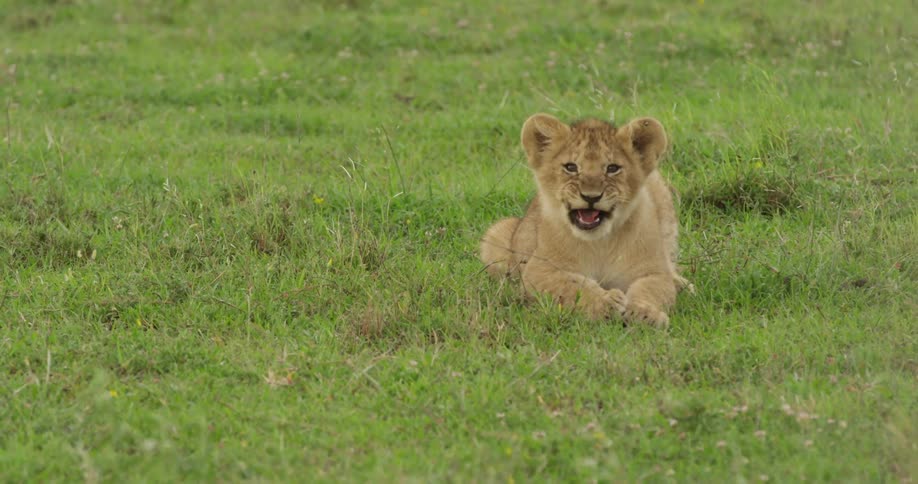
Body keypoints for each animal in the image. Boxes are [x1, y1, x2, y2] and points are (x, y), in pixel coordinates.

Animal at [480, 113, 689, 327]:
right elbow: (572, 286)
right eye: (571, 167)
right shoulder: (539, 270)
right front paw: (606, 303)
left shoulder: (652, 271)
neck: (599, 242)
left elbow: (651, 290)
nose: (591, 197)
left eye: (612, 168)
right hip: (495, 236)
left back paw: (681, 284)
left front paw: (644, 313)